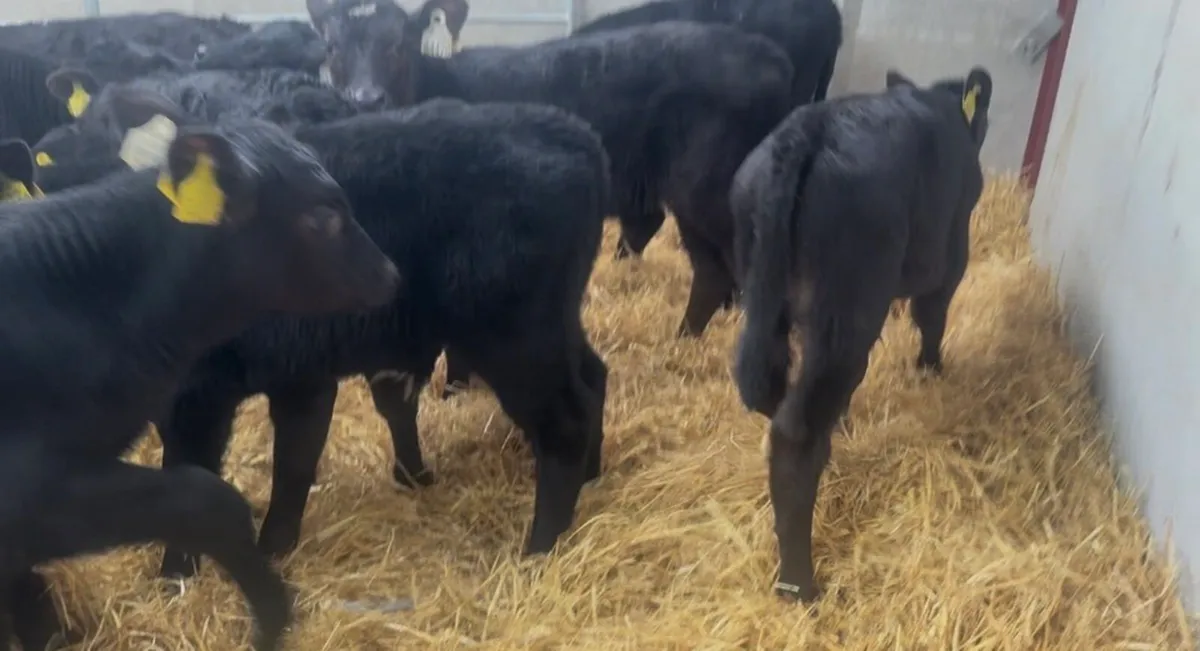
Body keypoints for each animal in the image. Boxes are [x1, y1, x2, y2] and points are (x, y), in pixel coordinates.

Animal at [308, 0, 795, 396]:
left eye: (399, 44)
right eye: (332, 48)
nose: (366, 98)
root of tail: (767, 54)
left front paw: (455, 388)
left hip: (714, 192)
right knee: (711, 272)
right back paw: (682, 344)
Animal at [729, 66, 993, 602]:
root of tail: (803, 134)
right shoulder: (951, 249)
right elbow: (932, 315)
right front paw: (931, 368)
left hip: (768, 299)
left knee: (777, 392)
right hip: (844, 309)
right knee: (796, 432)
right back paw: (800, 584)